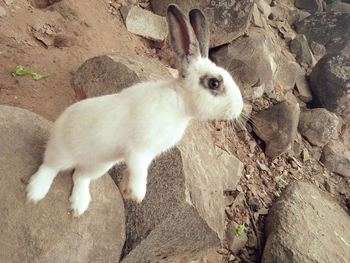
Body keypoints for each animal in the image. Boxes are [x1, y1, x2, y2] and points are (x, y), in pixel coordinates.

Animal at [26, 4, 243, 218]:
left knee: (80, 177)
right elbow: (139, 171)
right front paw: (138, 194)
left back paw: (79, 206)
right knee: (49, 167)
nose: (239, 108)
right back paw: (35, 193)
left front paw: (128, 191)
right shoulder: (139, 149)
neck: (179, 103)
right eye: (214, 83)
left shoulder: (148, 153)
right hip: (62, 152)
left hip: (99, 165)